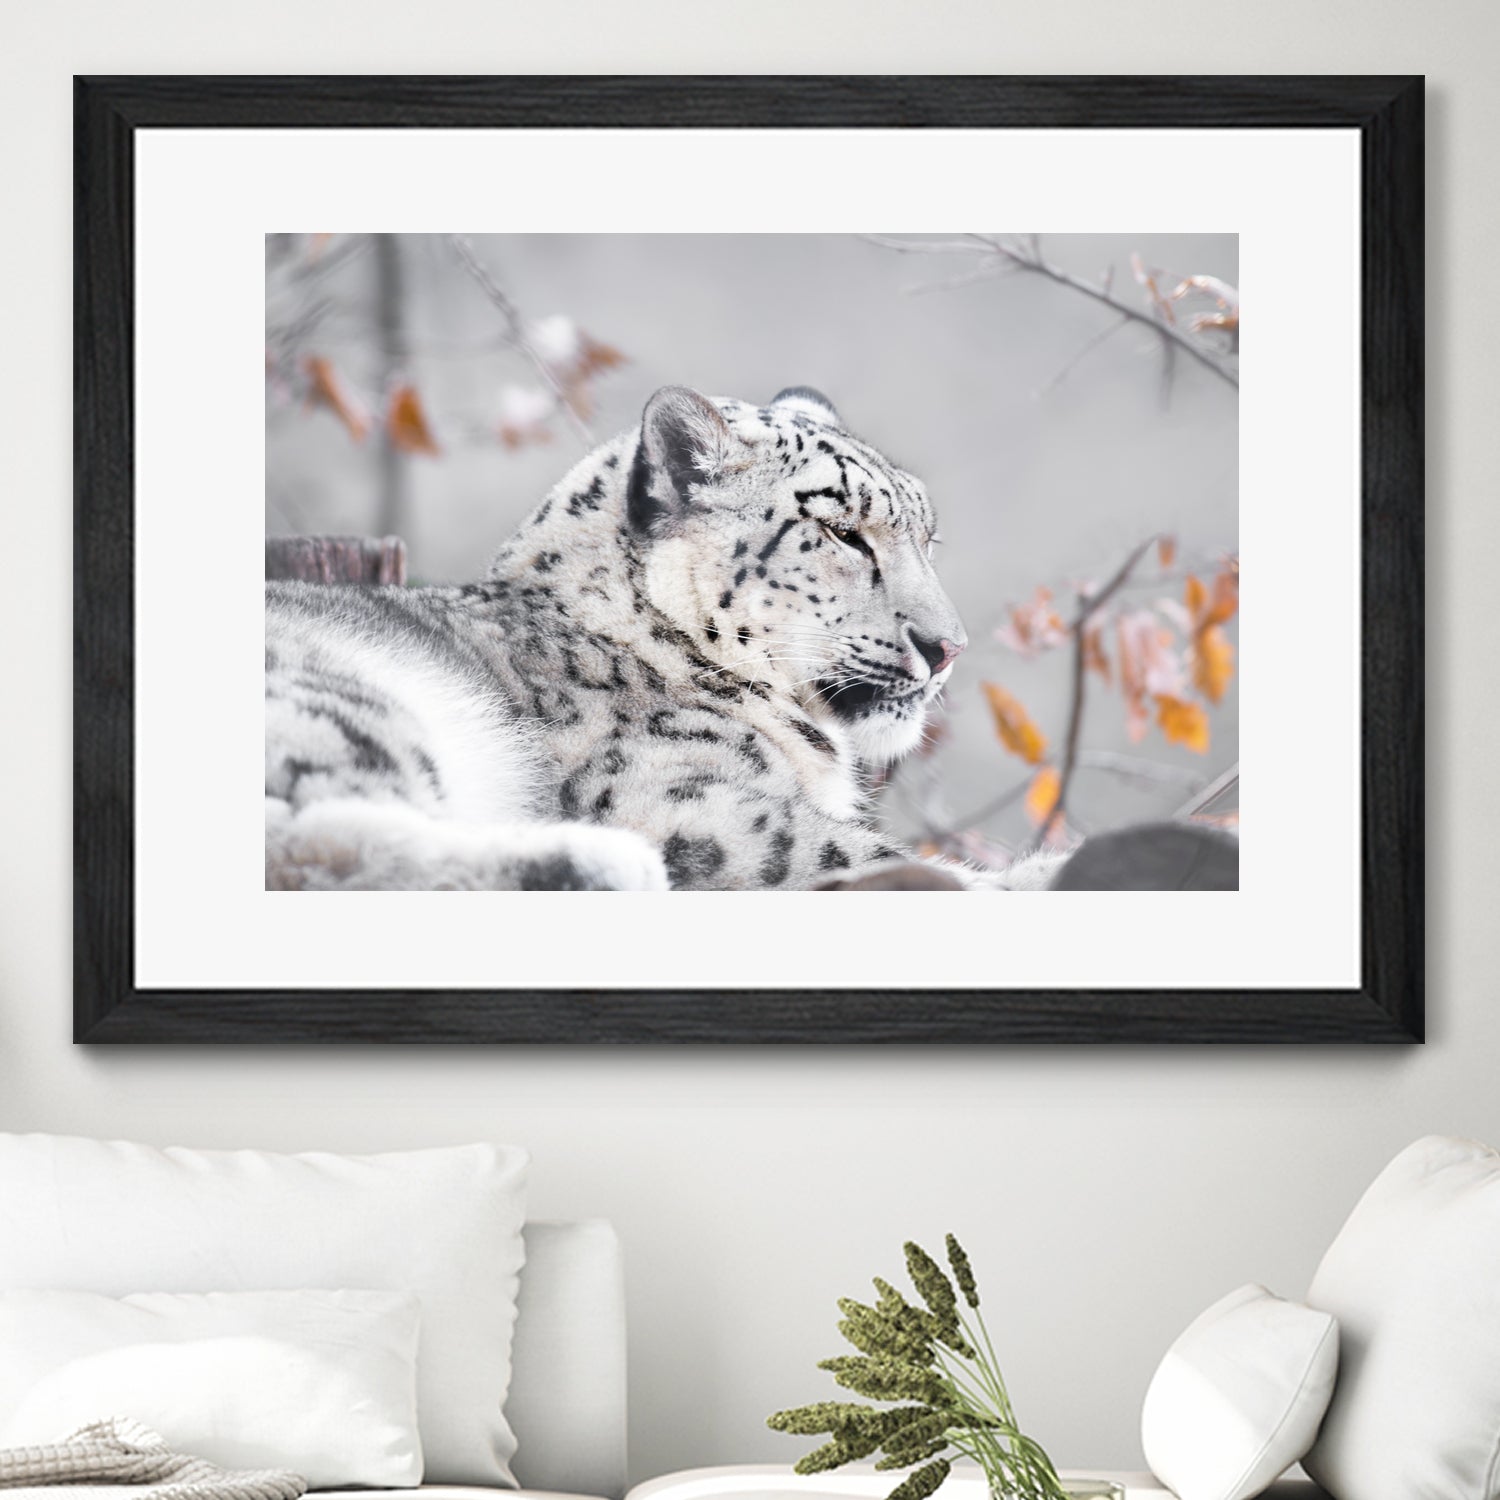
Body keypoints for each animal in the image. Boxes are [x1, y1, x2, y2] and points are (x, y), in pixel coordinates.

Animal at [265, 384, 1067, 891]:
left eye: (929, 538)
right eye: (843, 531)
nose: (947, 647)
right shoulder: (689, 805)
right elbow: (853, 854)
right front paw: (1038, 872)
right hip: (347, 701)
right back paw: (599, 864)